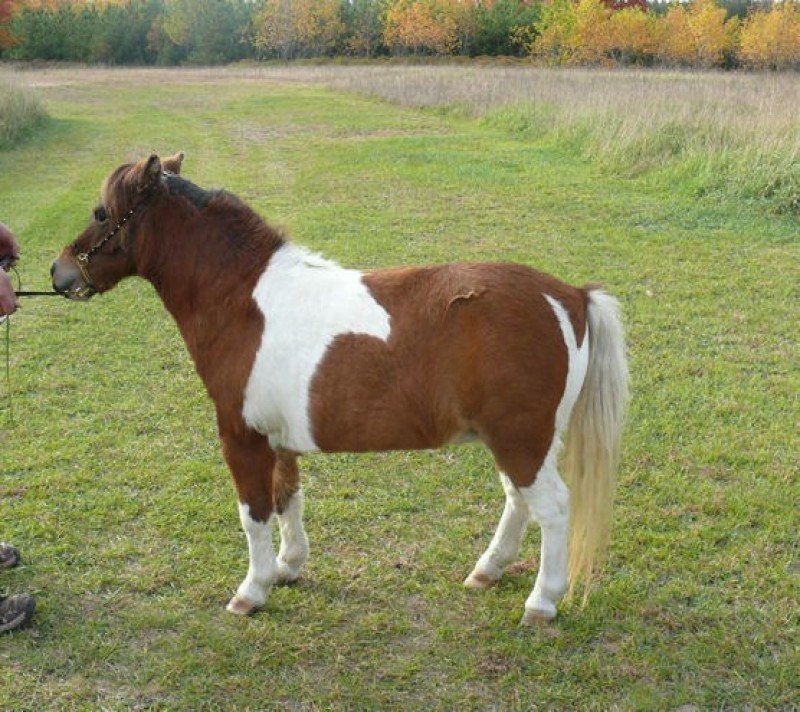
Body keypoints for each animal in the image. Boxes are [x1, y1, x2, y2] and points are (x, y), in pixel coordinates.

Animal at [51, 152, 628, 626]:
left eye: (101, 213)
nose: (59, 273)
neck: (242, 299)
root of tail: (569, 296)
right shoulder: (277, 439)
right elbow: (287, 499)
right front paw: (287, 568)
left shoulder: (241, 437)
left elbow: (253, 514)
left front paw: (251, 590)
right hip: (516, 442)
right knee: (518, 501)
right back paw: (487, 571)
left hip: (521, 440)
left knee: (552, 507)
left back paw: (541, 602)